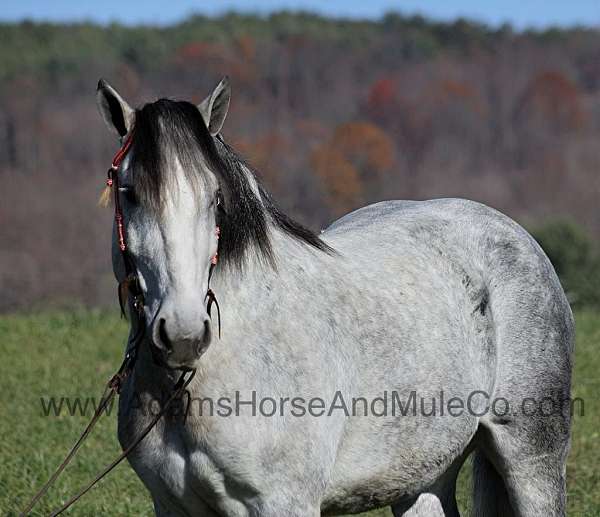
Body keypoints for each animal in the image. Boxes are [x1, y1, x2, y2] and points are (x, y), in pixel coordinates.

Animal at [97, 77, 572, 516]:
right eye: (129, 193)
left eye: (215, 199)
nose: (184, 335)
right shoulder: (173, 506)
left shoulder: (284, 503)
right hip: (423, 476)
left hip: (532, 460)